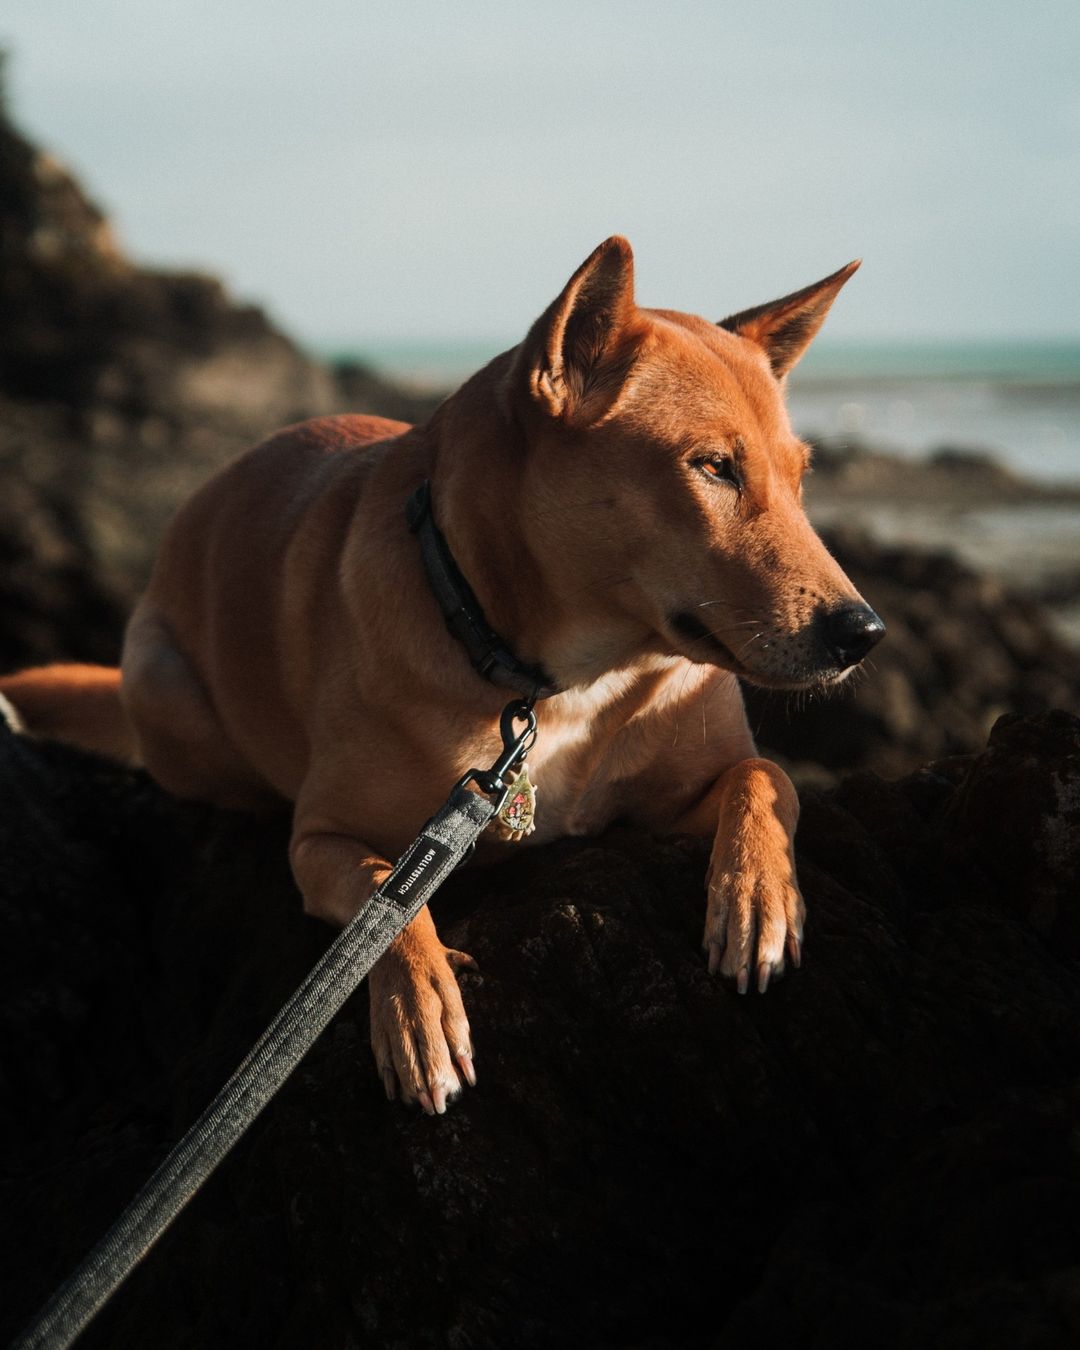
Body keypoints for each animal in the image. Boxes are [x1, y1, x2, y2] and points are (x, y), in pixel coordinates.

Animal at [2, 243, 885, 1117]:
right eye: (713, 468)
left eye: (801, 476)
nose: (864, 633)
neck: (570, 683)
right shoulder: (319, 839)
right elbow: (385, 895)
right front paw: (416, 1007)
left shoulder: (675, 796)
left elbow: (765, 777)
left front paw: (758, 896)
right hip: (166, 687)